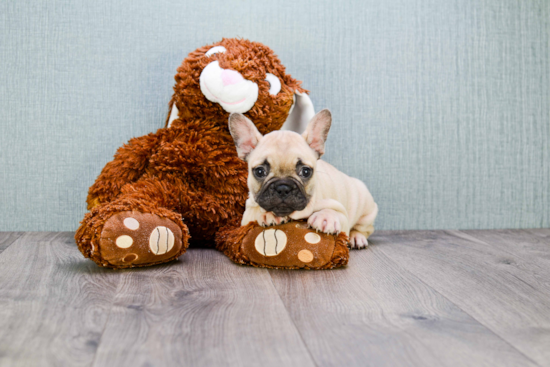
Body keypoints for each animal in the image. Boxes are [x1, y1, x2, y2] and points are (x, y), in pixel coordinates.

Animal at [229, 108, 380, 249]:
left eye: (306, 171)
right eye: (260, 172)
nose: (283, 187)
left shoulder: (341, 215)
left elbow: (334, 211)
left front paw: (325, 218)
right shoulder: (247, 214)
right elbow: (256, 211)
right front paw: (269, 215)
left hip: (366, 209)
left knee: (364, 228)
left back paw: (357, 237)